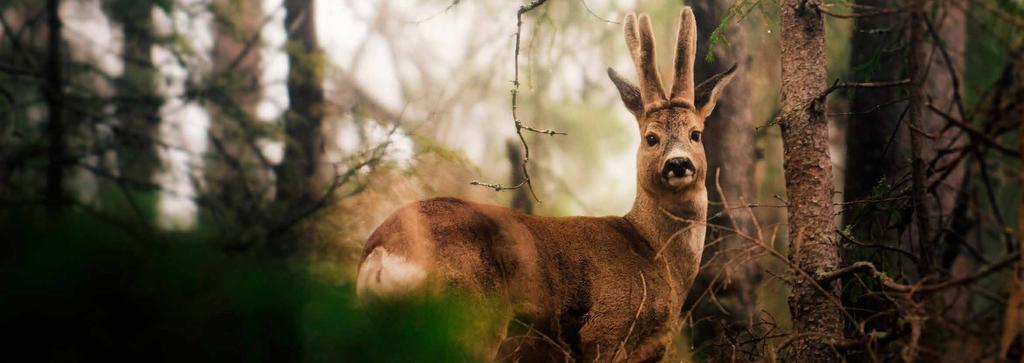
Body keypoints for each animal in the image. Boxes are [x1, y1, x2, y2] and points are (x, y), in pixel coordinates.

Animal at [356, 7, 733, 360]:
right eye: (651, 138)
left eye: (695, 134)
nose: (679, 163)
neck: (656, 255)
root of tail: (381, 254)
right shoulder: (606, 328)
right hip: (469, 318)